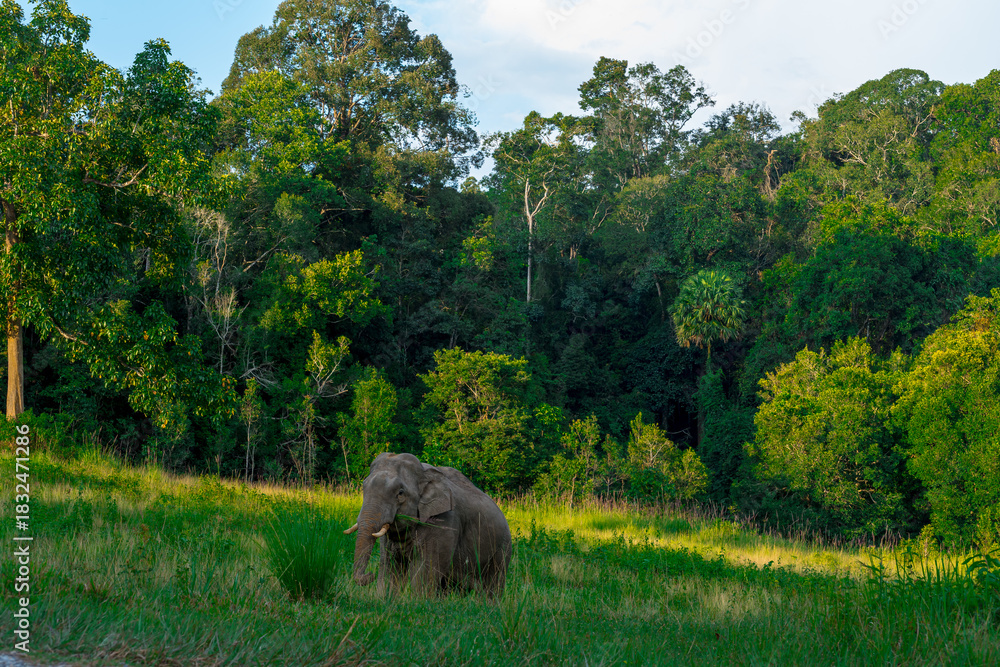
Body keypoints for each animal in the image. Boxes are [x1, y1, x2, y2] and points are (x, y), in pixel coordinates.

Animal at [344, 452, 511, 598]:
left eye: (400, 493)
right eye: (364, 487)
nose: (369, 574)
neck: (424, 474)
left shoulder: (444, 521)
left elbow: (426, 567)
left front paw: (417, 601)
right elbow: (389, 564)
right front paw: (385, 599)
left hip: (502, 549)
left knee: (492, 586)